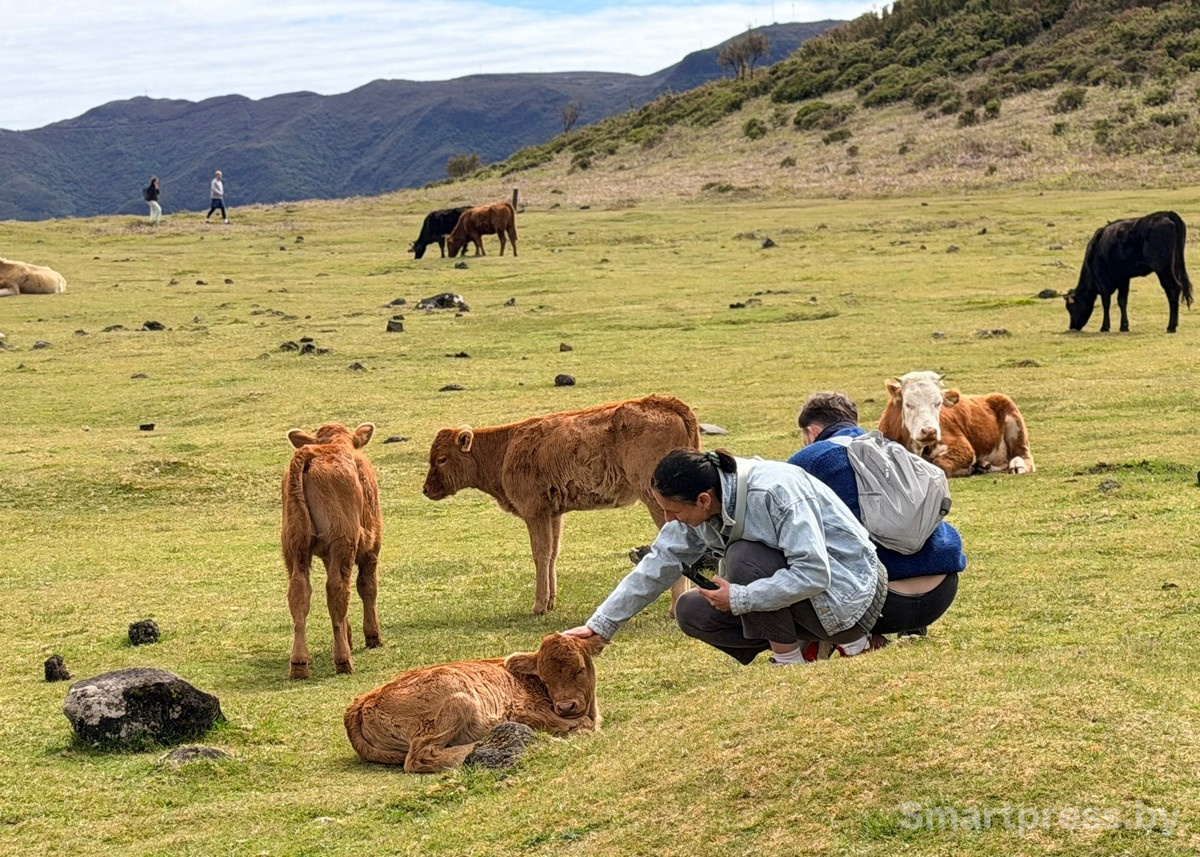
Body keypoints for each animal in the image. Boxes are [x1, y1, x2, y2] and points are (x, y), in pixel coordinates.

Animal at [282, 422, 382, 679]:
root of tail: (311, 452)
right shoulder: (372, 547)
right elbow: (367, 587)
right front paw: (372, 636)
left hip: (294, 547)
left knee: (299, 593)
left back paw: (299, 664)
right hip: (343, 542)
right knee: (338, 590)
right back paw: (343, 660)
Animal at [343, 632, 604, 773]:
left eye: (580, 669)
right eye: (545, 678)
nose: (565, 706)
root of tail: (362, 701)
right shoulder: (524, 712)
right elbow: (582, 725)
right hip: (459, 701)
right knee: (420, 756)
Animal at [422, 394, 701, 615]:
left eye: (443, 458)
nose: (426, 489)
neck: (506, 448)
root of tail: (666, 403)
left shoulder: (534, 512)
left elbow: (541, 554)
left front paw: (538, 605)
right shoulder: (553, 514)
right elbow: (553, 553)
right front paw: (550, 602)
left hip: (657, 502)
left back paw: (674, 608)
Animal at [878, 371, 1035, 478]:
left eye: (938, 403)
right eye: (908, 404)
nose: (929, 431)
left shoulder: (962, 448)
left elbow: (940, 464)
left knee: (1025, 458)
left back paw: (1017, 466)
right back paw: (984, 466)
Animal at [1064, 210, 1193, 333]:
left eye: (1071, 307)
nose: (1072, 327)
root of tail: (1166, 213)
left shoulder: (1103, 282)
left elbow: (1106, 302)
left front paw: (1105, 327)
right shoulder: (1123, 278)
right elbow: (1122, 301)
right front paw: (1124, 326)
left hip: (1163, 268)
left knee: (1173, 288)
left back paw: (1171, 326)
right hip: (1175, 266)